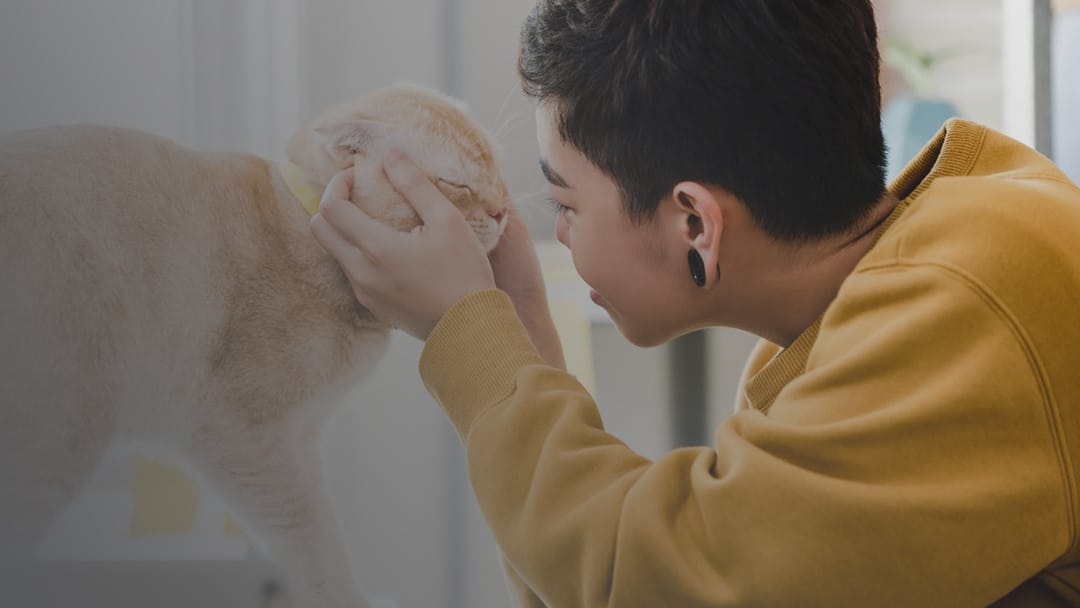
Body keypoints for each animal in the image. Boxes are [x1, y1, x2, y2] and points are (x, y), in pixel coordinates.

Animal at [0, 84, 509, 608]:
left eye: (498, 172)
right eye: (456, 183)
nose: (502, 211)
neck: (303, 229)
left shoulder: (300, 438)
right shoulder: (244, 435)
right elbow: (315, 537)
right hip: (61, 428)